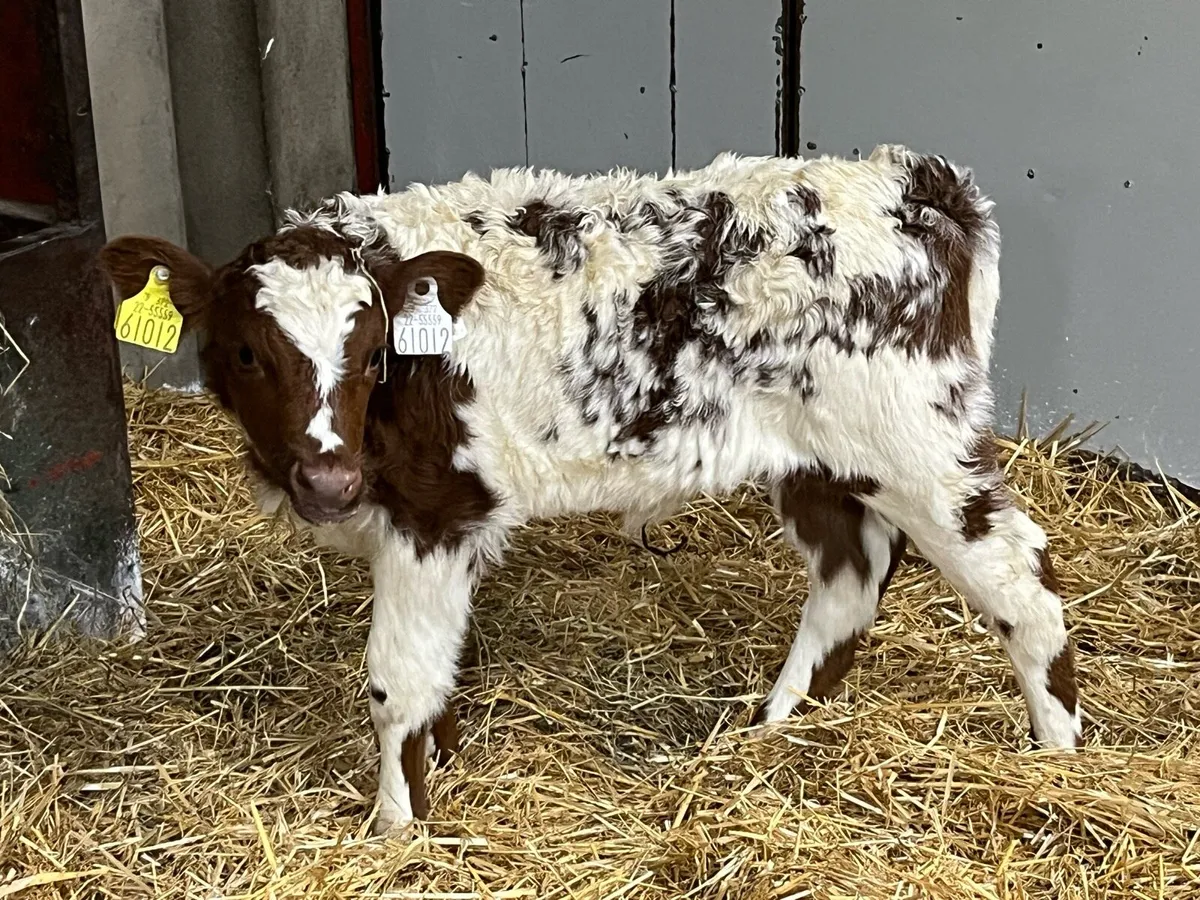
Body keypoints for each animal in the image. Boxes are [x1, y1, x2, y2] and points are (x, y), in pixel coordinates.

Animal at [96, 146, 1082, 834]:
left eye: (374, 354)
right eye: (246, 353)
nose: (330, 478)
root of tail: (913, 180)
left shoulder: (434, 513)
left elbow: (396, 682)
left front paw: (397, 827)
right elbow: (441, 671)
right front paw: (439, 768)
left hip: (917, 443)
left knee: (1019, 579)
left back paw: (1059, 758)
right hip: (819, 461)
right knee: (849, 576)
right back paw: (772, 730)